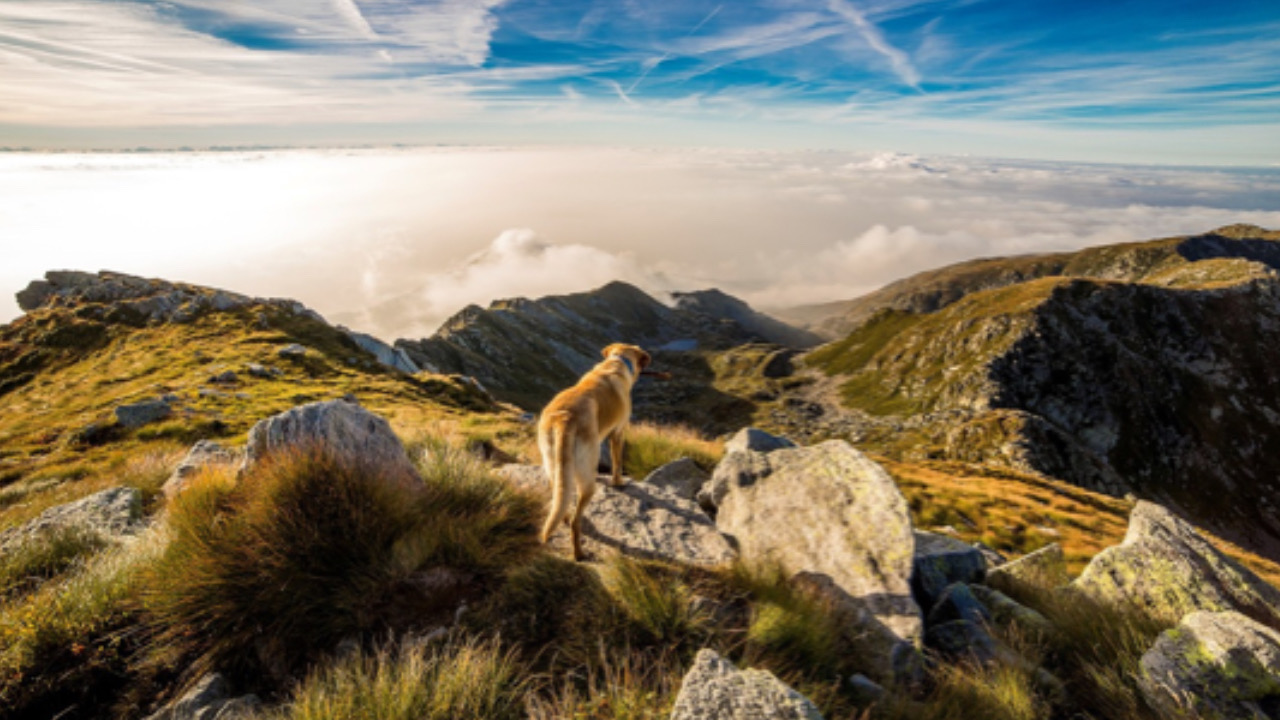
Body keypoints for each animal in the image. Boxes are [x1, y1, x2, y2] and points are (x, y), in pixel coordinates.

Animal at [535, 340, 650, 561]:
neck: (617, 361)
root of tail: (565, 418)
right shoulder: (618, 433)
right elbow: (617, 462)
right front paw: (618, 483)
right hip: (588, 478)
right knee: (576, 521)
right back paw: (579, 553)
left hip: (554, 464)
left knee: (560, 500)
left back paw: (563, 518)